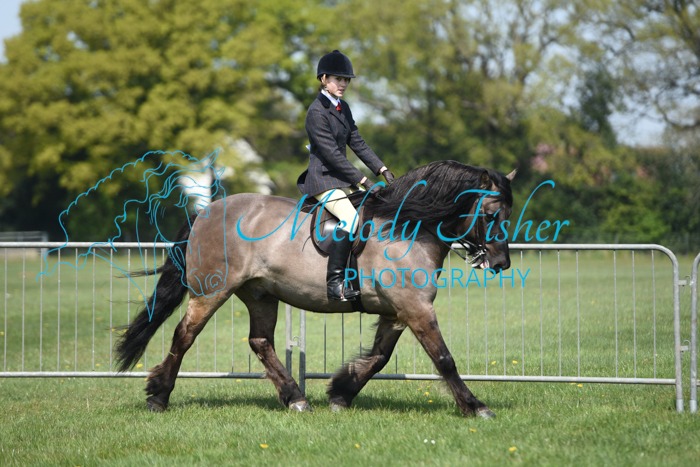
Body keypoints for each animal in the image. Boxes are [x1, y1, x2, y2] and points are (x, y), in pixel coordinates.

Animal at [115, 160, 515, 418]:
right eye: (490, 214)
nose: (500, 264)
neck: (407, 226)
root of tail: (206, 212)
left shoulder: (397, 311)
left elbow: (379, 357)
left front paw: (341, 393)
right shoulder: (416, 309)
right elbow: (444, 359)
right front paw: (476, 407)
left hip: (260, 295)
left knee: (260, 342)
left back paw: (295, 398)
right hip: (212, 291)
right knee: (185, 334)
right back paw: (158, 396)